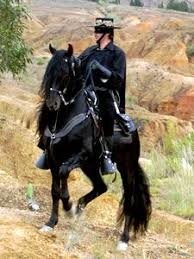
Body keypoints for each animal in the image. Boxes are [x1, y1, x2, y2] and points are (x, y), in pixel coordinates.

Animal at [36, 43, 152, 251]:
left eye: (65, 73)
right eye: (48, 72)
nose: (52, 104)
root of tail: (132, 129)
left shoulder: (80, 155)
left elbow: (64, 175)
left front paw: (68, 205)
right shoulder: (53, 158)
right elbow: (55, 190)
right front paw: (51, 223)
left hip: (126, 169)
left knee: (129, 200)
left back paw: (123, 239)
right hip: (90, 167)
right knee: (101, 187)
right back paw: (79, 207)